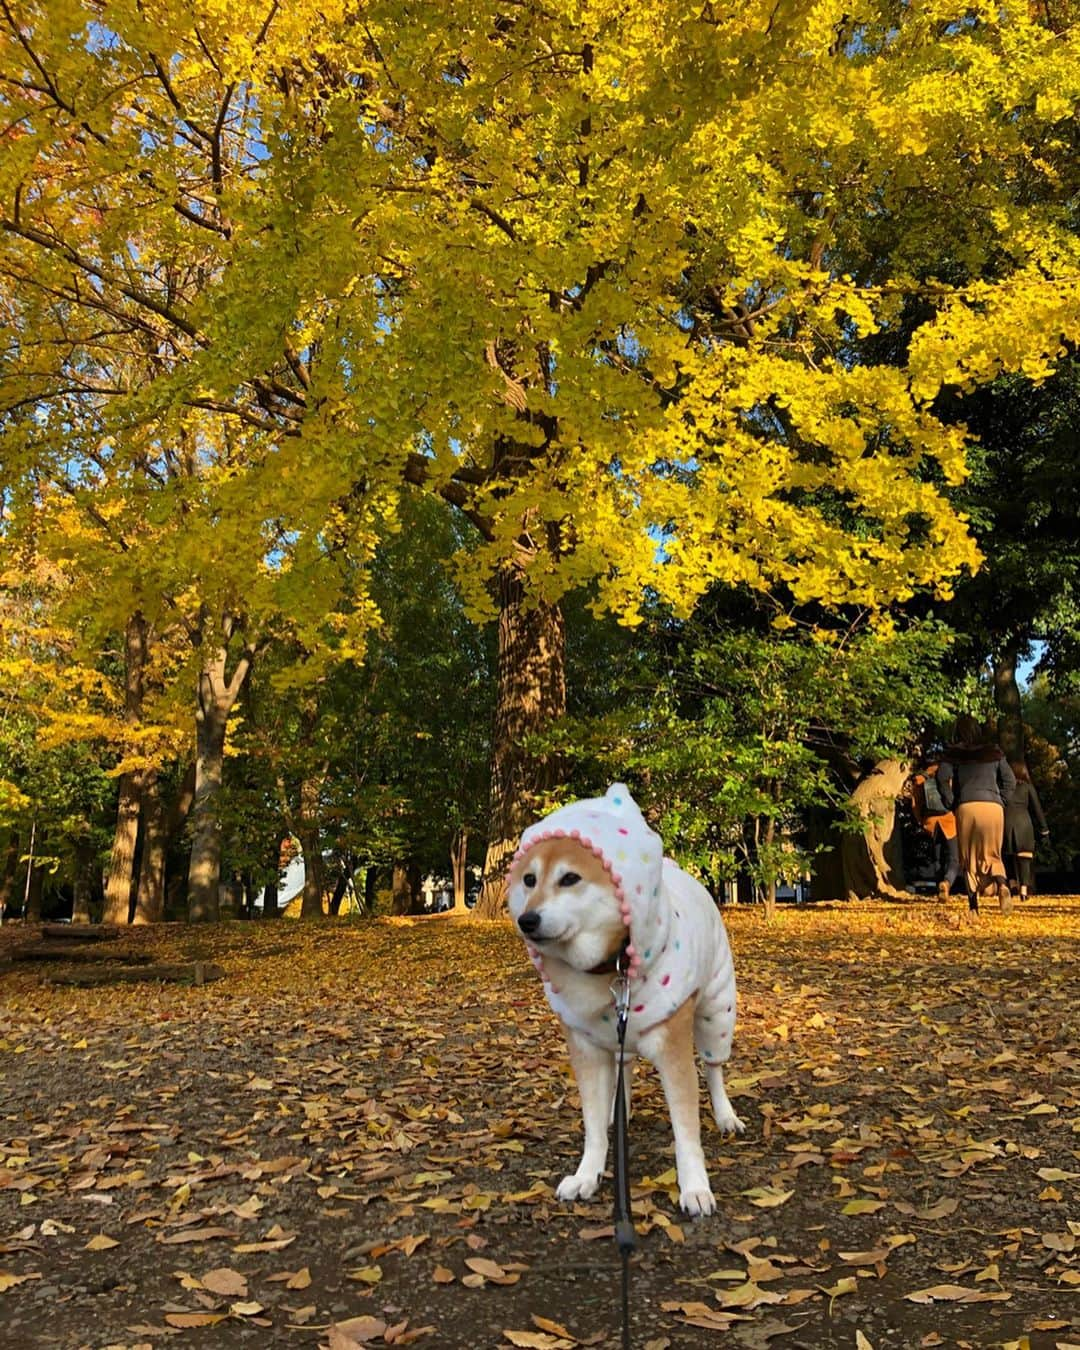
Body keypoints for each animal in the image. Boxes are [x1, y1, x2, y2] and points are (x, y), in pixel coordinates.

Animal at [507, 783, 745, 1215]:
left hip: (716, 1010)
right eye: (529, 880)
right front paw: (587, 1174)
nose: (527, 920)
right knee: (626, 1069)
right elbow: (592, 1126)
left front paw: (695, 1188)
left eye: (570, 878)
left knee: (714, 1069)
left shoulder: (673, 1052)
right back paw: (621, 1113)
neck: (610, 969)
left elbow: (686, 1132)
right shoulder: (585, 1048)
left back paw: (725, 1116)